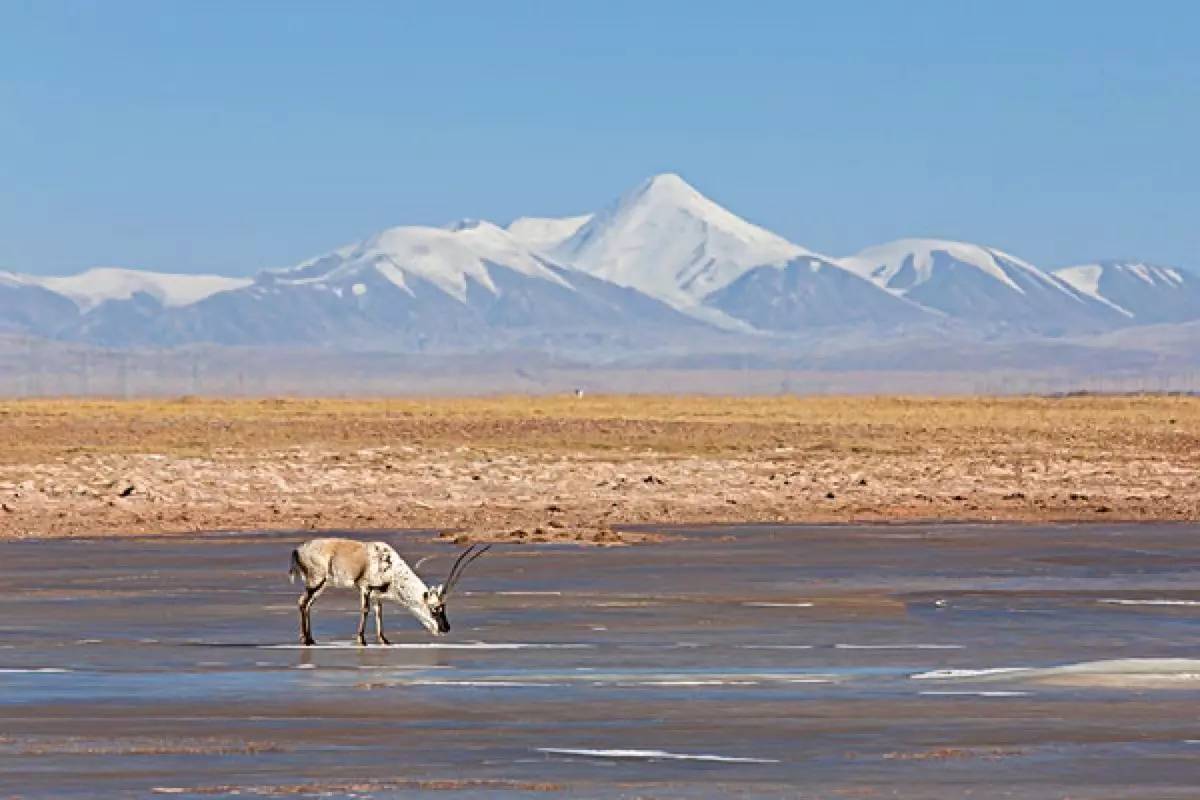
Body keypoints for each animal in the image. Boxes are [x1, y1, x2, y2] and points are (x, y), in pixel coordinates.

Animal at [288, 537, 489, 642]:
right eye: (435, 609)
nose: (445, 628)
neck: (390, 565)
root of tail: (297, 550)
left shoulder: (377, 594)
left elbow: (379, 612)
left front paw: (384, 640)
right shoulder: (365, 588)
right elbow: (366, 610)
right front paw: (361, 639)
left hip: (321, 586)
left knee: (307, 605)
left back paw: (310, 638)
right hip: (316, 582)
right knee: (302, 602)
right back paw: (306, 639)